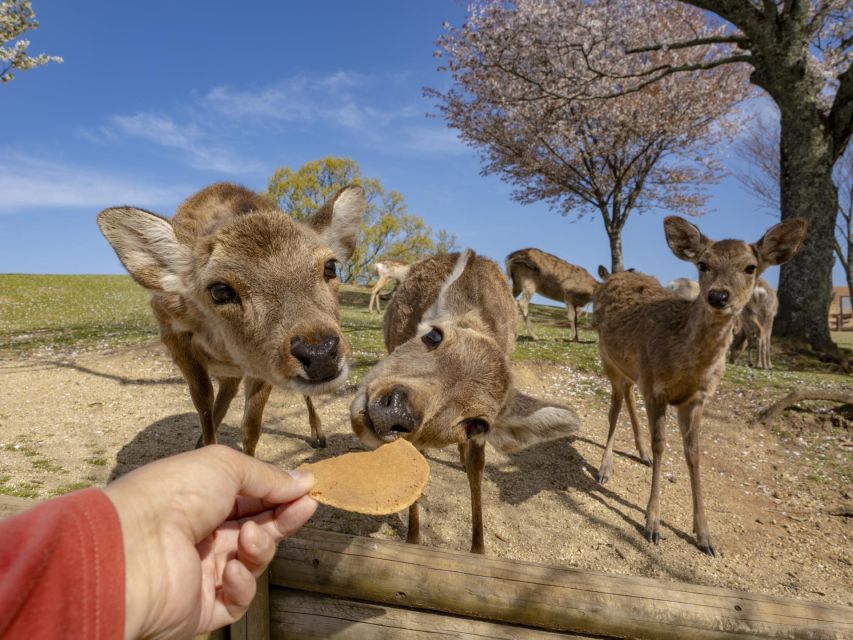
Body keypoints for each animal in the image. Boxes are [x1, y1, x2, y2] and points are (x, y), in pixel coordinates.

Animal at [98, 182, 364, 456]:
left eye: (330, 266)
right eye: (219, 290)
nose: (320, 351)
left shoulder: (260, 362)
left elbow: (251, 426)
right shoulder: (172, 332)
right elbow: (202, 401)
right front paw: (207, 449)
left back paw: (318, 435)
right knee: (226, 390)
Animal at [348, 250, 580, 556]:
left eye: (478, 424)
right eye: (434, 335)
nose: (395, 410)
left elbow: (476, 468)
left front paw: (478, 550)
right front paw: (413, 540)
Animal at [592, 216, 804, 556]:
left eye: (750, 267)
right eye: (703, 264)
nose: (718, 296)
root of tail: (611, 277)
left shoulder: (696, 398)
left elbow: (694, 453)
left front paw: (705, 537)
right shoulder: (656, 387)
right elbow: (662, 445)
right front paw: (652, 524)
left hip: (630, 370)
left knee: (626, 396)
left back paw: (638, 453)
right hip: (607, 357)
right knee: (614, 407)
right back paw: (604, 469)